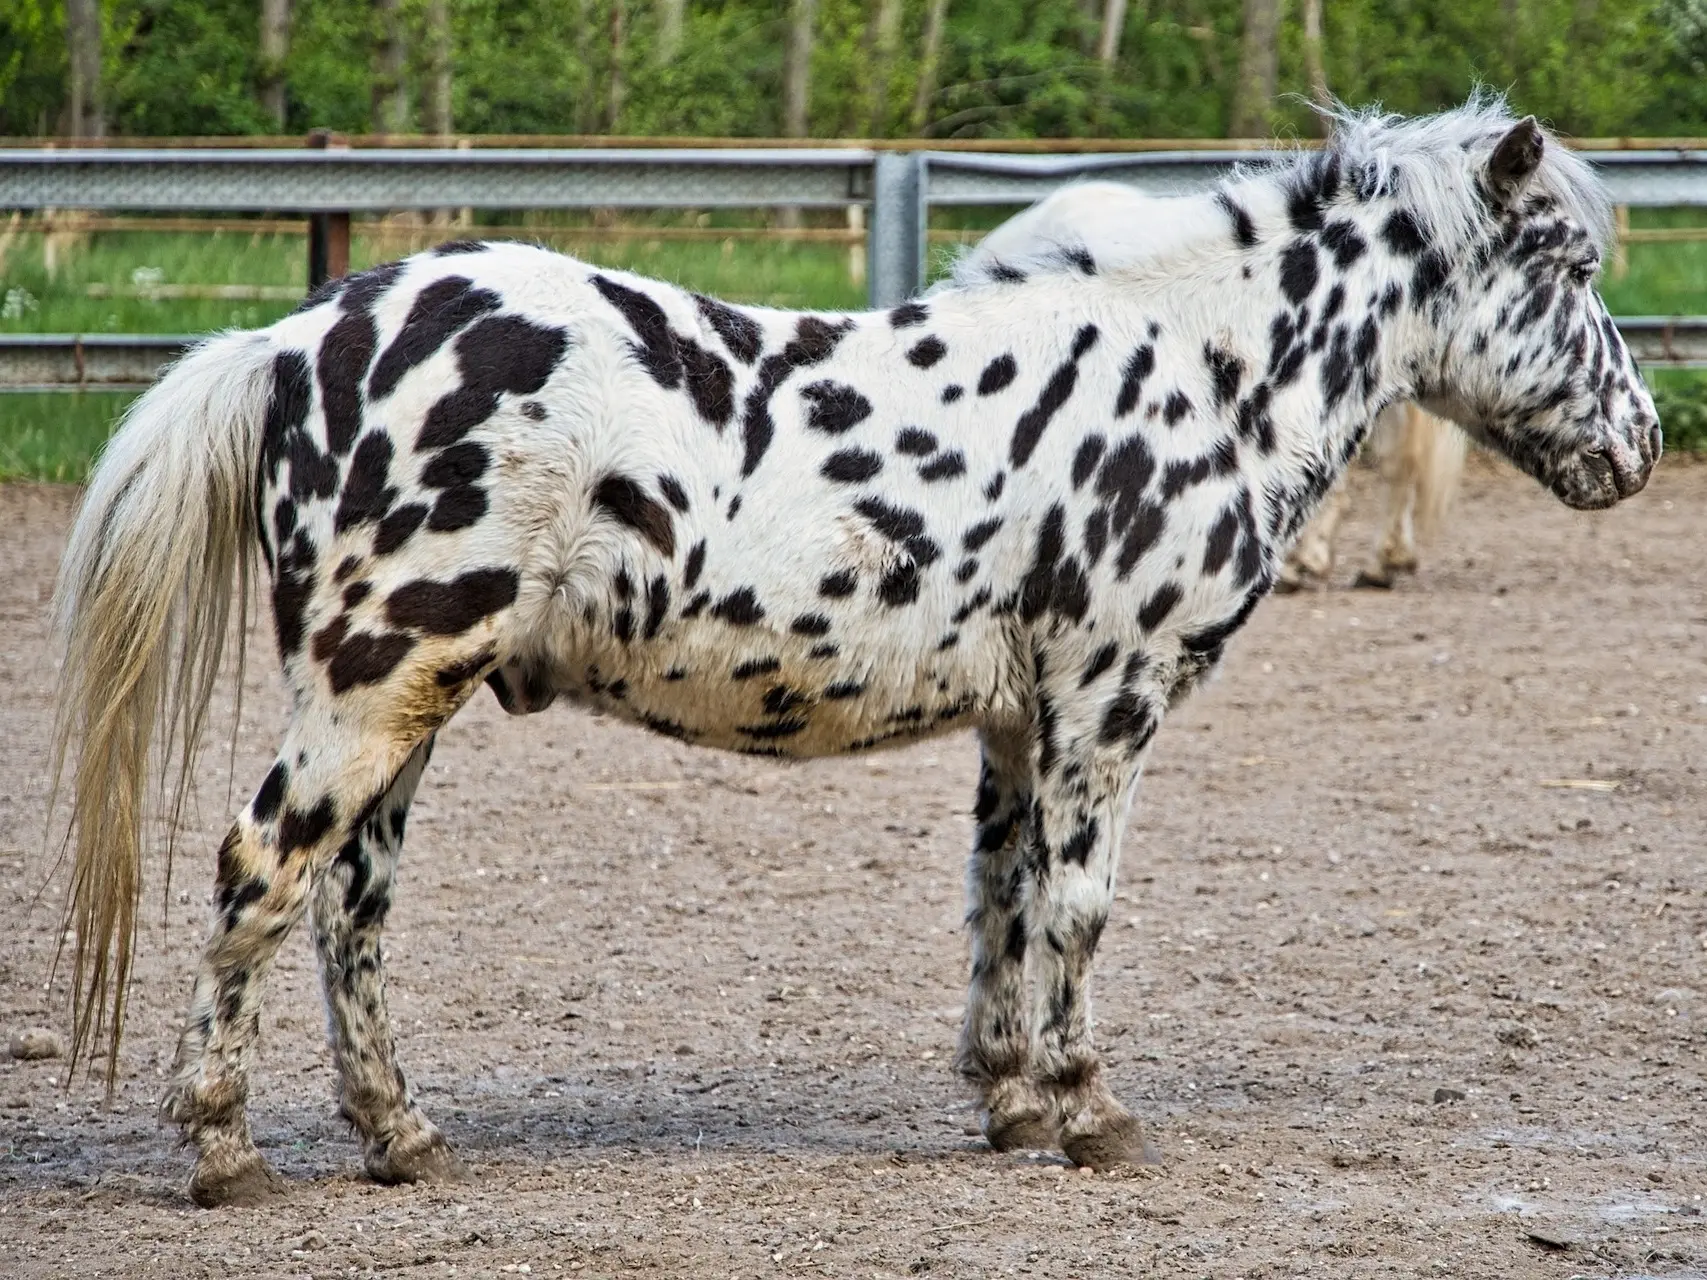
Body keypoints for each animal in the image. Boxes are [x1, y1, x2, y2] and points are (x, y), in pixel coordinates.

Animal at [49, 95, 1652, 1208]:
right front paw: (1089, 1112)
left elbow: (1002, 901)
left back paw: (402, 1135)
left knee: (351, 909)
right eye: (1568, 264)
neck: (1198, 376)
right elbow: (1079, 910)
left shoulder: (1019, 724)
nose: (1636, 445)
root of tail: (301, 334)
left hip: (405, 707)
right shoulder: (1108, 705)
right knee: (261, 874)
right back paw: (222, 1150)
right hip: (369, 686)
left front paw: (1009, 1099)